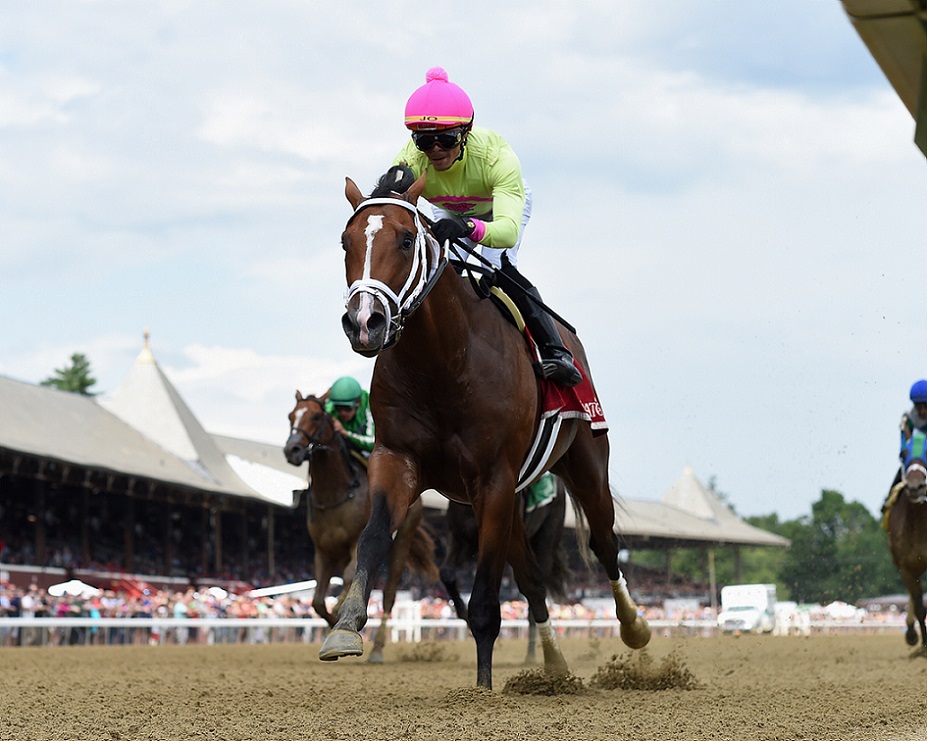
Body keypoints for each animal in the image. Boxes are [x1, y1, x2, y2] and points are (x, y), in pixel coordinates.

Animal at [283, 391, 440, 663]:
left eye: (315, 416)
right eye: (291, 416)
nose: (291, 449)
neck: (336, 493)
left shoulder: (356, 541)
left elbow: (348, 578)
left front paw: (341, 613)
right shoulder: (322, 551)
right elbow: (317, 602)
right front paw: (336, 625)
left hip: (401, 542)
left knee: (388, 597)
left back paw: (377, 650)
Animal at [440, 473, 571, 664]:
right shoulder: (461, 539)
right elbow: (447, 574)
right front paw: (468, 618)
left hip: (546, 540)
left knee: (534, 599)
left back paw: (531, 654)